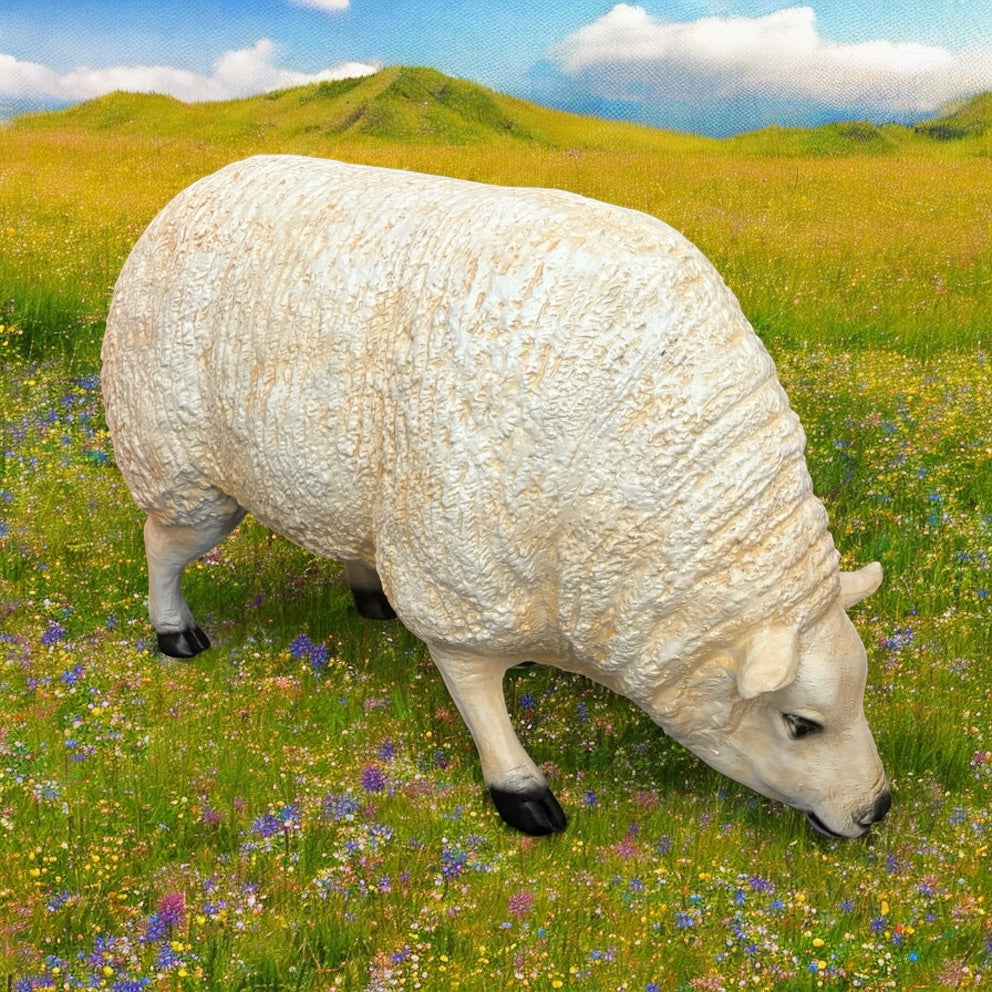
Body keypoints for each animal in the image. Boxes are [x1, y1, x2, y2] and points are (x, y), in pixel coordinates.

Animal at [102, 154, 890, 837]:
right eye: (799, 723)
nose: (876, 809)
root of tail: (204, 184)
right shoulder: (463, 572)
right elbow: (476, 685)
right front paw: (520, 788)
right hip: (183, 466)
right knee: (161, 543)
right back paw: (175, 633)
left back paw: (370, 594)